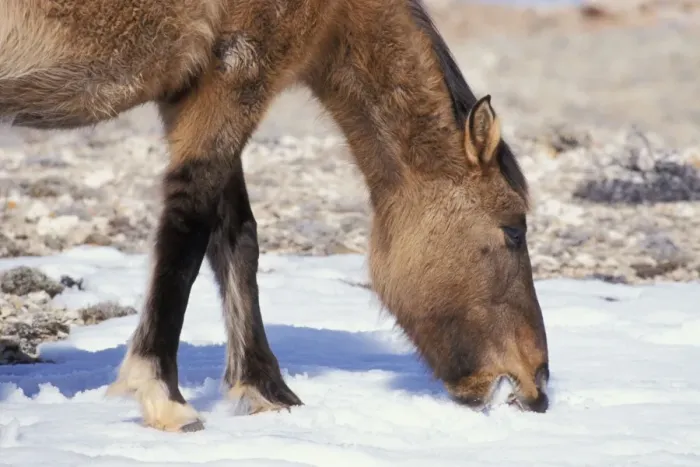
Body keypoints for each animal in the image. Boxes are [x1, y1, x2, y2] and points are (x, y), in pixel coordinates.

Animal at [0, 0, 550, 432]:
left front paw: (264, 387)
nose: (538, 384)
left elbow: (237, 236)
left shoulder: (195, 96)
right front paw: (163, 396)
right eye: (513, 230)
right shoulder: (236, 76)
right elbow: (189, 228)